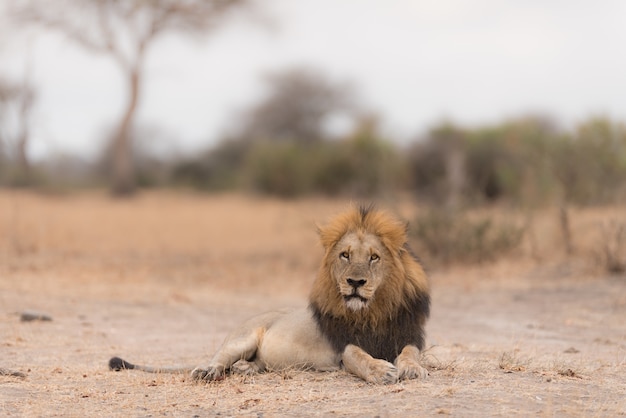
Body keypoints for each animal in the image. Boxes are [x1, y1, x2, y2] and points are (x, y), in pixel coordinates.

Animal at [108, 204, 428, 384]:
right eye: (345, 255)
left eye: (374, 257)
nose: (355, 282)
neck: (373, 312)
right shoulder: (342, 347)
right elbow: (360, 357)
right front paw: (382, 371)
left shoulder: (409, 335)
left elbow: (411, 353)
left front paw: (412, 369)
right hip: (242, 338)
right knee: (217, 358)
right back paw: (209, 372)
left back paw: (245, 370)